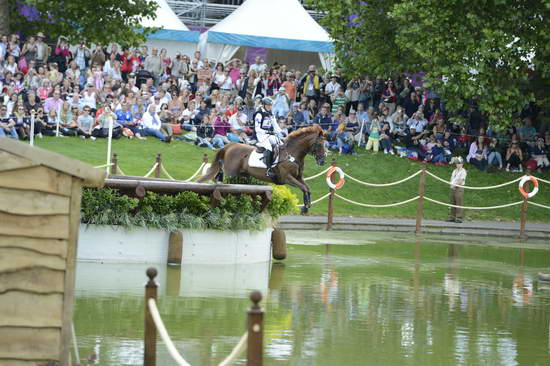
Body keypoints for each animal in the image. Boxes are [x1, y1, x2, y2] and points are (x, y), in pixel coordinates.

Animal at [198, 124, 328, 213]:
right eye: (319, 144)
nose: (322, 161)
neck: (292, 154)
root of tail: (230, 145)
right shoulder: (287, 178)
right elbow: (304, 188)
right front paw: (305, 208)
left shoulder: (298, 177)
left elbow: (307, 188)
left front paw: (307, 206)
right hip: (230, 171)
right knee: (218, 175)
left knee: (217, 175)